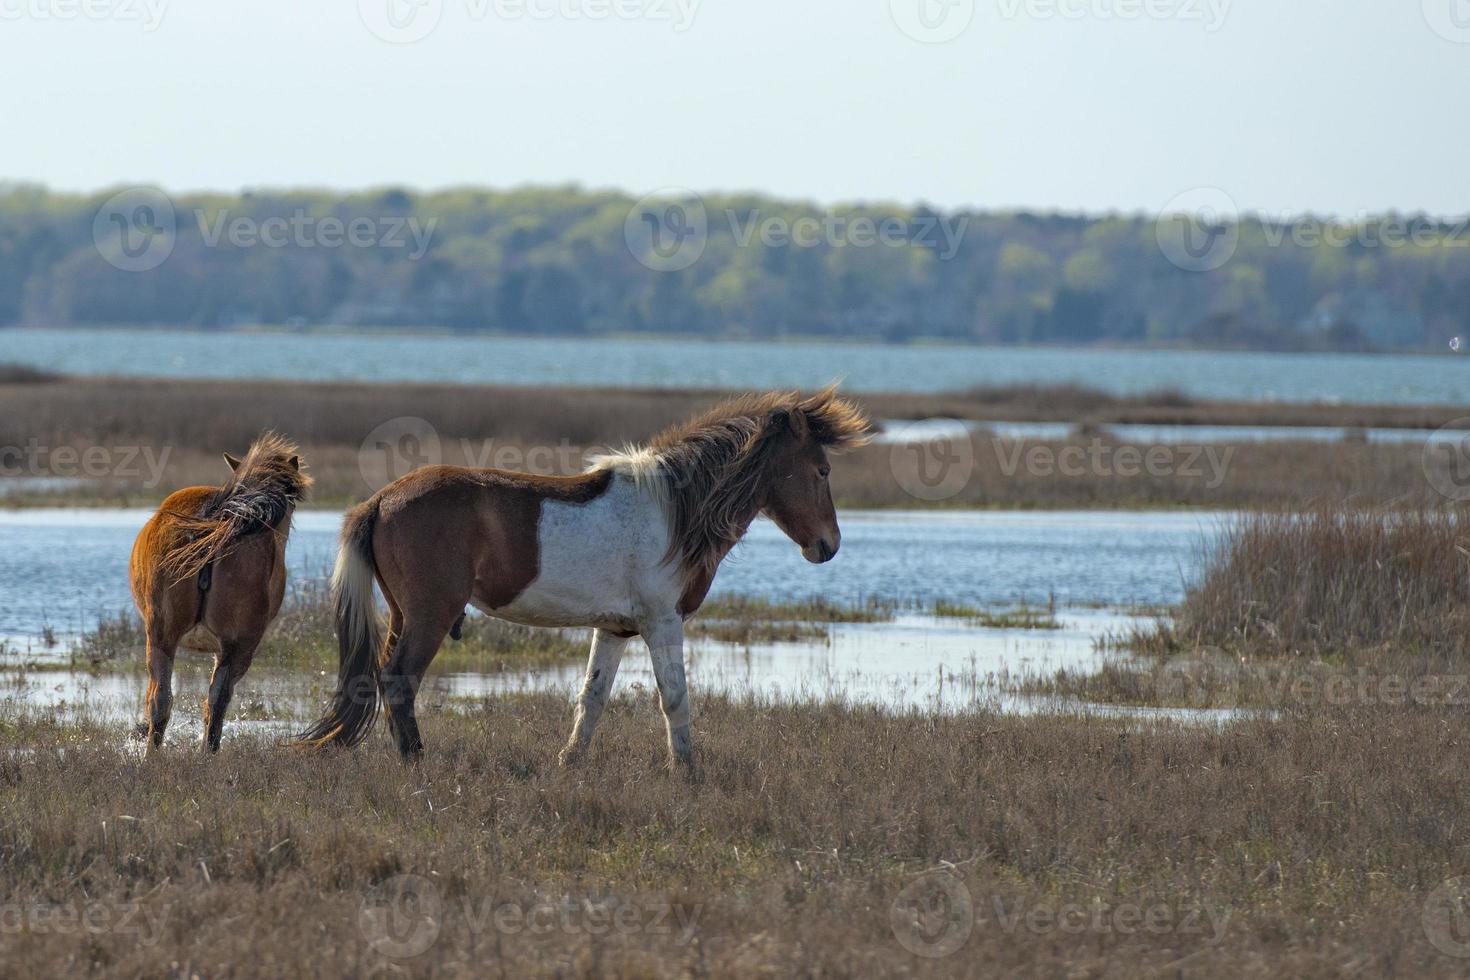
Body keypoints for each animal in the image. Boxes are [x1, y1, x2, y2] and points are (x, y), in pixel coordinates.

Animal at [299, 387, 870, 769]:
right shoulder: (662, 622)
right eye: (821, 470)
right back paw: (416, 761)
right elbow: (674, 696)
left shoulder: (614, 629)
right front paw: (686, 770)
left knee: (380, 676)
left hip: (403, 613)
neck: (675, 510)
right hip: (430, 615)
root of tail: (381, 499)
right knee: (400, 678)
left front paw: (569, 762)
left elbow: (592, 697)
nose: (829, 545)